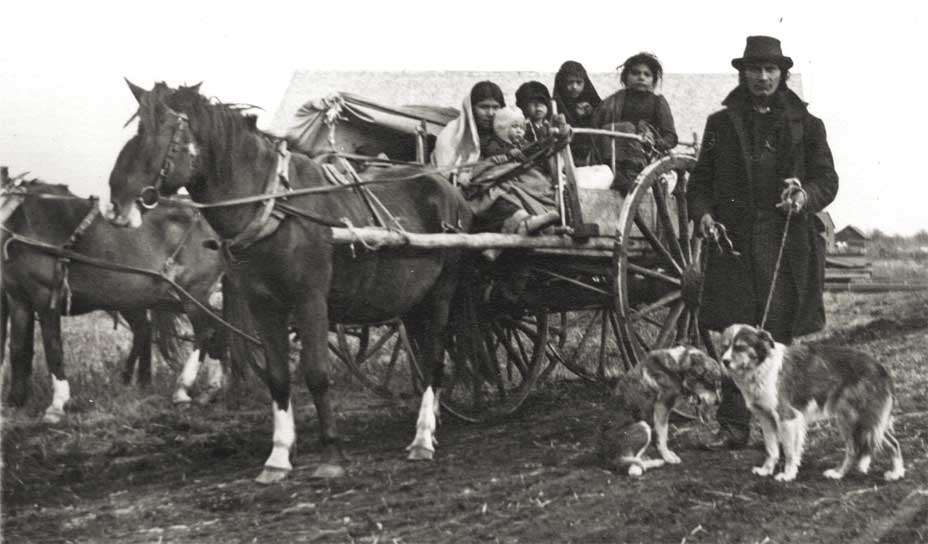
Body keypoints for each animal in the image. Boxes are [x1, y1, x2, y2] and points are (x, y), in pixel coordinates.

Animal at [2, 170, 227, 420]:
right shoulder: (17, 299)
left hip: (193, 292)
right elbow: (18, 349)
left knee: (206, 332)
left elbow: (53, 349)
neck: (21, 221)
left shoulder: (46, 296)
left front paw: (58, 404)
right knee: (215, 328)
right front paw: (14, 401)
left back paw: (183, 389)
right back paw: (208, 388)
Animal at [105, 79, 474, 480]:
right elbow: (279, 377)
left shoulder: (310, 300)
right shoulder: (264, 305)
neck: (275, 207)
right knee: (425, 356)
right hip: (410, 298)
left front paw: (331, 455)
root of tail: (445, 186)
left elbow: (315, 373)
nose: (116, 201)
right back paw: (431, 421)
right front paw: (279, 456)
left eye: (164, 128)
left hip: (441, 294)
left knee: (434, 357)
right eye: (139, 128)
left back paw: (422, 437)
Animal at [600, 348, 720, 476]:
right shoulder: (662, 407)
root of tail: (605, 458)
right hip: (643, 427)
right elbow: (662, 436)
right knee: (633, 468)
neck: (677, 368)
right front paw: (667, 457)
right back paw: (656, 462)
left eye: (717, 385)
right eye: (709, 385)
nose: (718, 402)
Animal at [716, 324, 908, 480]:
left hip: (850, 418)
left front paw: (787, 475)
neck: (761, 367)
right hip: (869, 422)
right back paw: (896, 473)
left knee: (855, 450)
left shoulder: (787, 417)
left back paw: (838, 473)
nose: (724, 362)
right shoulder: (766, 418)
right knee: (893, 443)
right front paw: (766, 470)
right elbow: (771, 449)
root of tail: (881, 368)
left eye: (740, 347)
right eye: (724, 347)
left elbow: (789, 451)